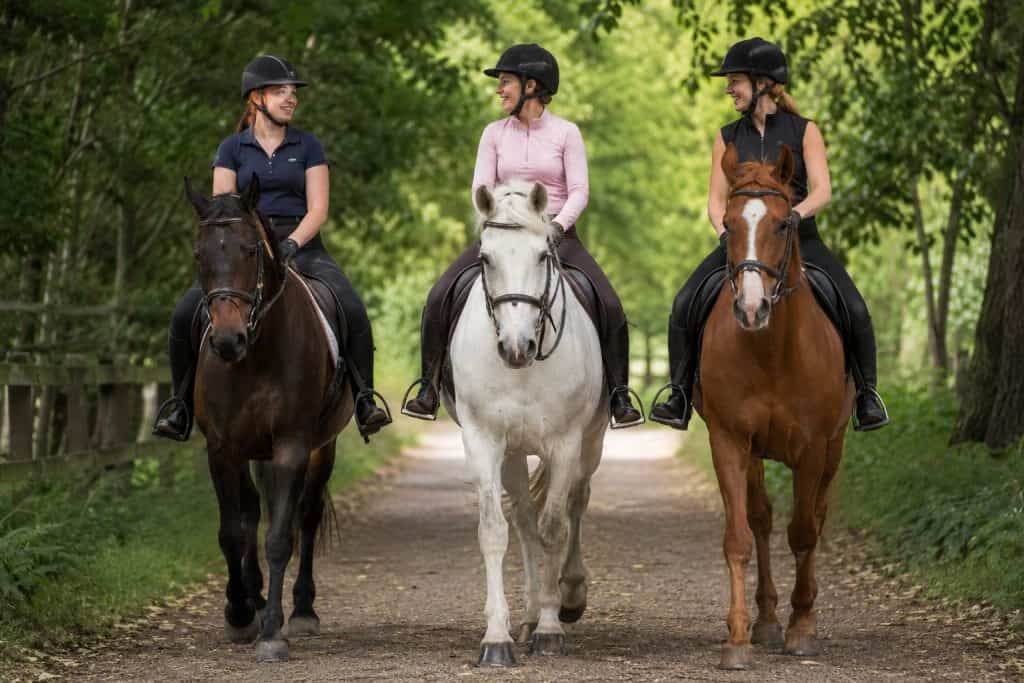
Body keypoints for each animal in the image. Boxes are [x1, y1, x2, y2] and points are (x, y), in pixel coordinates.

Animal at [184, 176, 354, 662]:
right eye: (199, 254)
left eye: (250, 250)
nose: (227, 340)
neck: (257, 354)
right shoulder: (222, 449)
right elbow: (233, 532)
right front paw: (240, 613)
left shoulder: (292, 446)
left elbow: (280, 537)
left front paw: (274, 632)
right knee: (251, 512)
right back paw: (254, 598)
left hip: (321, 450)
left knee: (307, 517)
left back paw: (302, 610)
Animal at [442, 180, 608, 666]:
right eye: (486, 258)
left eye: (541, 256)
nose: (516, 348)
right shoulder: (482, 440)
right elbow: (495, 531)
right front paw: (496, 637)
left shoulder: (565, 442)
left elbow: (555, 528)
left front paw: (552, 629)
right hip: (514, 452)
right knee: (523, 518)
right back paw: (531, 612)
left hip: (590, 444)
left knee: (575, 503)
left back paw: (567, 597)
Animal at [695, 144, 854, 670]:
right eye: (728, 224)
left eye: (784, 224)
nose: (751, 308)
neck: (770, 351)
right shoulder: (728, 439)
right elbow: (740, 536)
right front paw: (738, 639)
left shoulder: (813, 447)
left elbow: (803, 531)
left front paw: (801, 627)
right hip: (756, 453)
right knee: (761, 519)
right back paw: (765, 619)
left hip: (834, 448)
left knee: (815, 519)